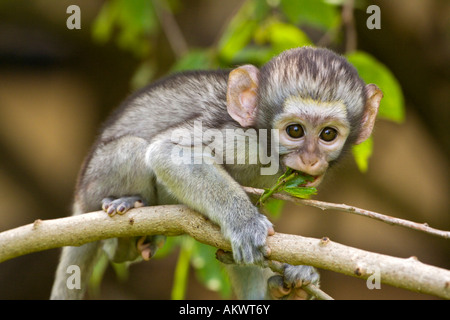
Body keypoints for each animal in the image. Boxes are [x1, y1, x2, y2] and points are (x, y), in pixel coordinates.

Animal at [52, 47, 384, 300]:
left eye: (328, 134)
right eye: (295, 131)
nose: (311, 159)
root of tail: (78, 201)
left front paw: (293, 281)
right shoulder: (241, 139)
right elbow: (167, 152)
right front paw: (245, 224)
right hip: (95, 181)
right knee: (134, 148)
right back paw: (123, 218)